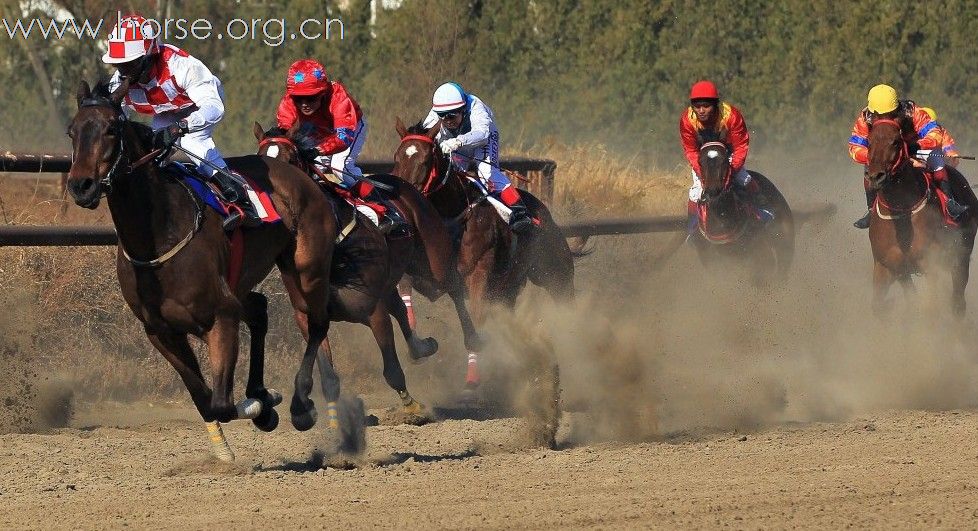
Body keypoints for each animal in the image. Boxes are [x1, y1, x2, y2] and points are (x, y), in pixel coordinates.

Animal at [63, 80, 344, 462]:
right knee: (259, 310)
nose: (81, 186)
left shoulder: (220, 317)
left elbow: (223, 402)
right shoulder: (161, 331)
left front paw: (263, 407)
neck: (159, 237)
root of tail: (298, 173)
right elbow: (205, 399)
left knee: (315, 324)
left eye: (110, 129)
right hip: (245, 280)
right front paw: (248, 419)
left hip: (306, 267)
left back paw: (300, 405)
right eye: (72, 131)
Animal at [388, 119, 576, 386]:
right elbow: (406, 286)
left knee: (565, 299)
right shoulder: (433, 274)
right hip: (507, 291)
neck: (452, 218)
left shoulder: (479, 274)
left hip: (553, 271)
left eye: (424, 161)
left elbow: (475, 321)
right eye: (397, 158)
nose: (402, 201)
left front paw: (473, 377)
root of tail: (544, 212)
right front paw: (416, 343)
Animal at [864, 117, 972, 316]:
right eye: (869, 142)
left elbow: (929, 306)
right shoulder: (887, 267)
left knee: (958, 300)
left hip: (961, 255)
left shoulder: (931, 264)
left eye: (896, 142)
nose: (875, 177)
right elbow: (879, 306)